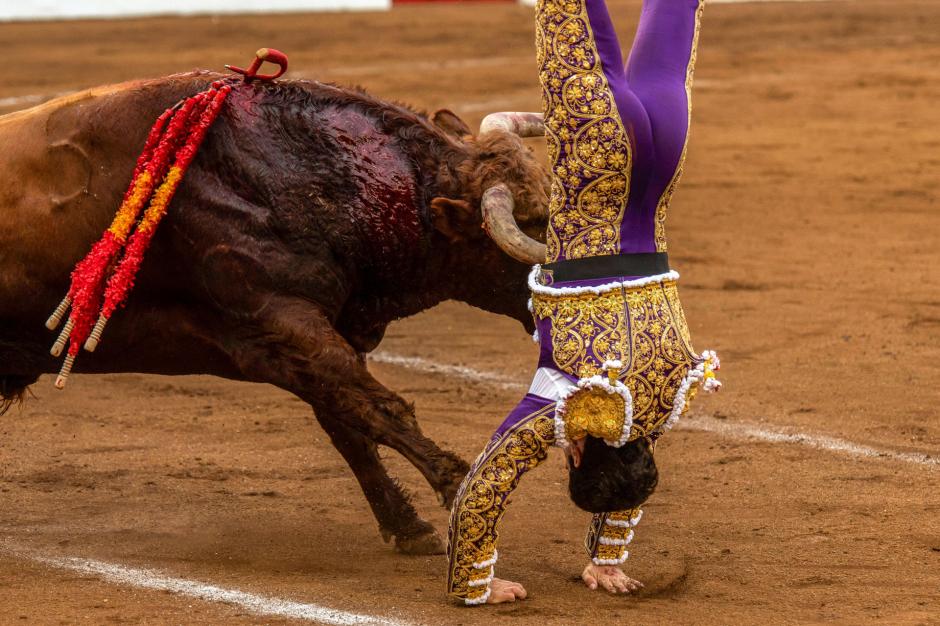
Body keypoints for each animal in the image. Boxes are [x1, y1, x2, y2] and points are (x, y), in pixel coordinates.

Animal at [0, 70, 548, 552]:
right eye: (535, 224)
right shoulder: (279, 324)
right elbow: (380, 409)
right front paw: (460, 491)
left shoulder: (312, 339)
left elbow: (348, 424)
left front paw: (409, 528)